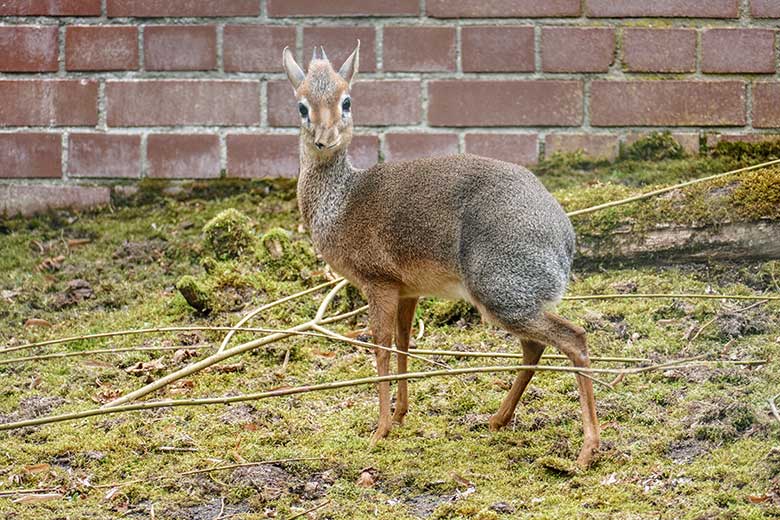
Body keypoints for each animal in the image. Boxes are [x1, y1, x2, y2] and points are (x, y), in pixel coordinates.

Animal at [284, 43, 600, 468]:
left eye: (346, 100)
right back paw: (496, 420)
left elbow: (381, 346)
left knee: (574, 339)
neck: (340, 202)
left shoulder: (378, 282)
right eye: (302, 106)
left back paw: (586, 451)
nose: (324, 138)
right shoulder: (407, 289)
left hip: (502, 294)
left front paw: (379, 431)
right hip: (513, 300)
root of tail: (565, 238)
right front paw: (400, 415)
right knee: (535, 346)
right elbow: (403, 342)